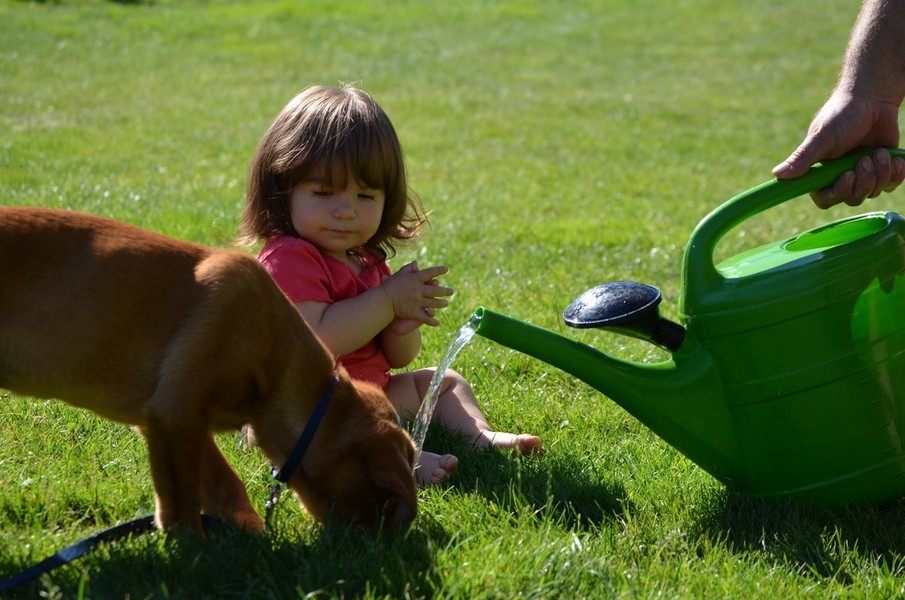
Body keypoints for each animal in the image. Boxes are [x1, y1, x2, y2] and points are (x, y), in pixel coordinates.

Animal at [0, 206, 417, 533]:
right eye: (382, 495)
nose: (377, 540)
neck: (273, 357)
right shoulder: (177, 414)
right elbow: (183, 498)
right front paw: (192, 550)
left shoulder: (172, 421)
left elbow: (223, 484)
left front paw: (250, 535)